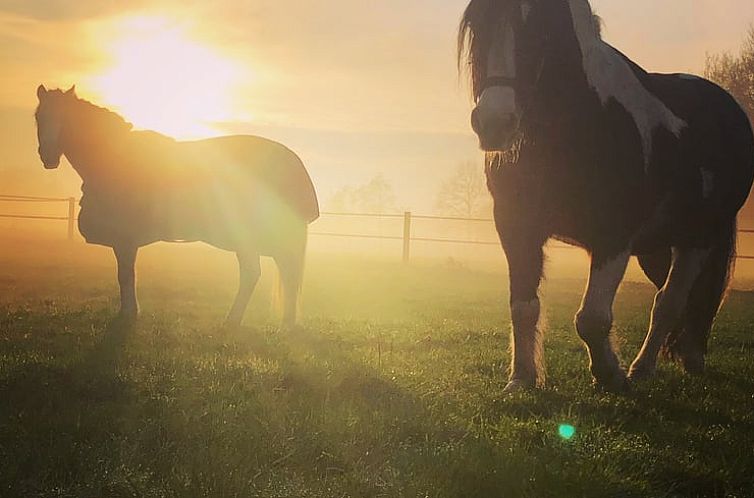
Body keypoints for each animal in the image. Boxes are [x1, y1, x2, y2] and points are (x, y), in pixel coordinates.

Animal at [36, 84, 318, 326]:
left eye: (65, 118)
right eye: (39, 116)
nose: (47, 157)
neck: (115, 157)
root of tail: (292, 163)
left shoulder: (125, 238)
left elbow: (125, 274)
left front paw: (128, 313)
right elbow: (126, 274)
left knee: (269, 273)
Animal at [458, 0, 752, 392]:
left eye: (540, 30)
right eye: (479, 25)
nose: (494, 122)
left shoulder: (613, 238)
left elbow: (592, 318)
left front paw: (610, 373)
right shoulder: (517, 228)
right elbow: (523, 306)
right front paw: (522, 378)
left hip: (698, 238)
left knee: (671, 301)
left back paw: (646, 368)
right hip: (657, 246)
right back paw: (684, 357)